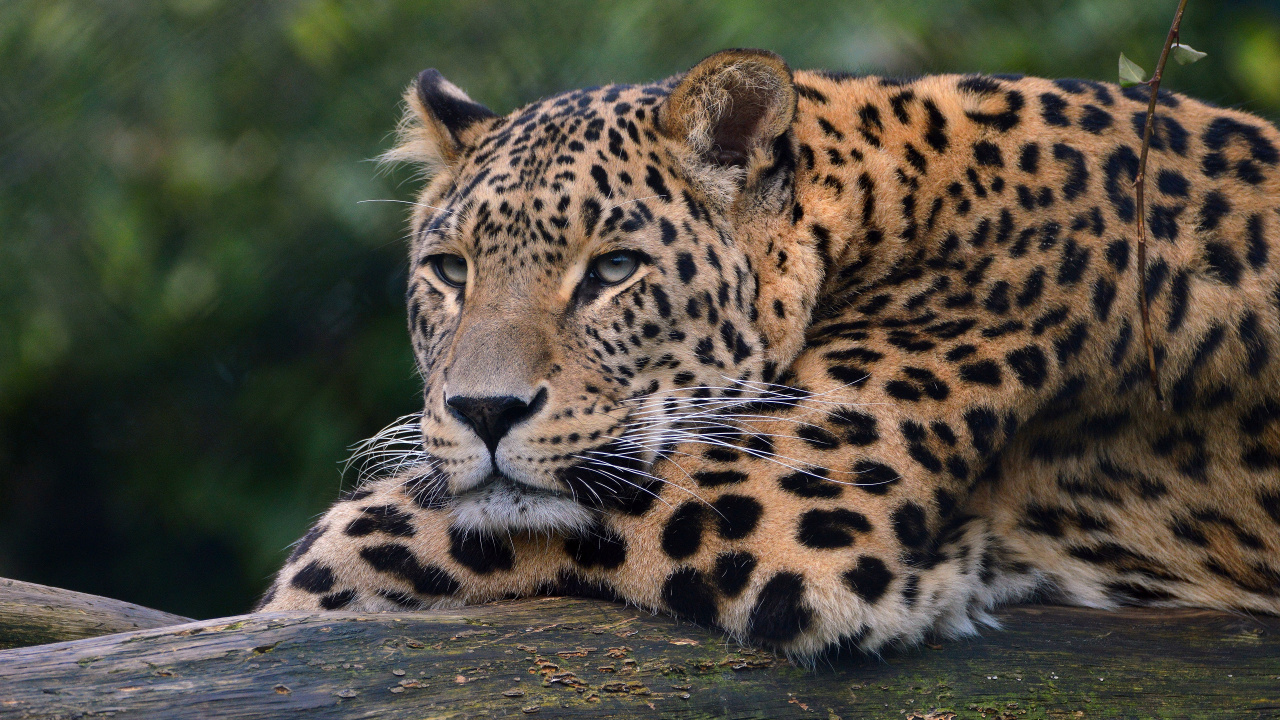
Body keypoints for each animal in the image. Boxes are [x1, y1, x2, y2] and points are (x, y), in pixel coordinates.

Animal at [258, 49, 1280, 660]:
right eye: (450, 270)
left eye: (614, 269)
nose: (483, 412)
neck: (885, 202)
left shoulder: (783, 505)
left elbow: (353, 545)